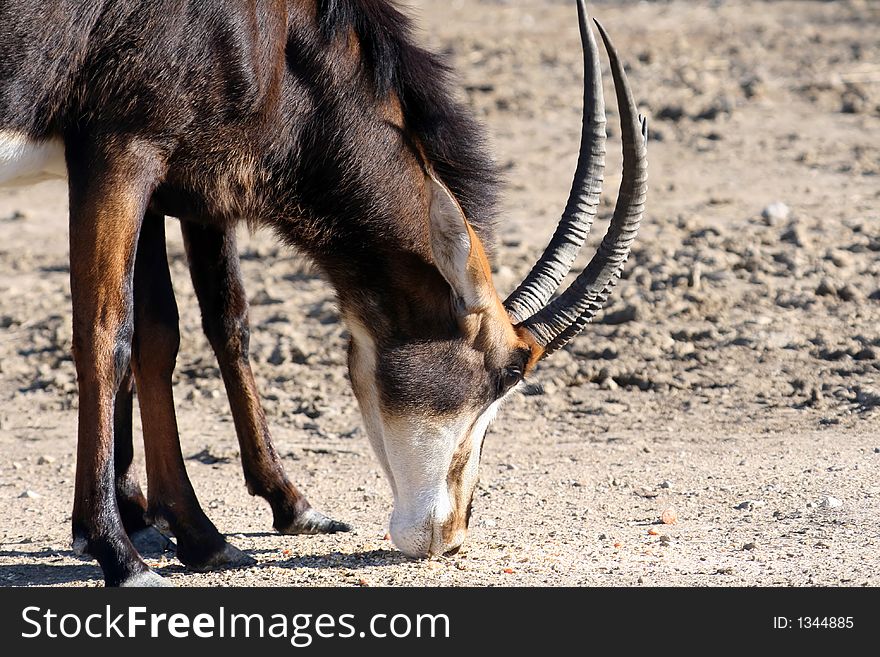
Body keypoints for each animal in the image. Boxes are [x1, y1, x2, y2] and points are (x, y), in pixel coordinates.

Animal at [0, 0, 648, 584]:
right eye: (509, 372)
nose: (450, 534)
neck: (279, 33)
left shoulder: (169, 178)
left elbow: (180, 330)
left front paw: (211, 530)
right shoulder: (122, 152)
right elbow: (107, 336)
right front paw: (119, 552)